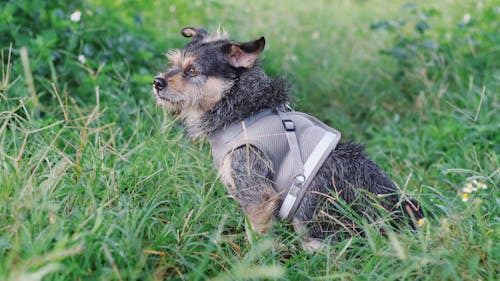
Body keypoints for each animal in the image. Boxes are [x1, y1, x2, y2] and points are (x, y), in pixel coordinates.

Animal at [152, 26, 422, 249]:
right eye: (173, 64)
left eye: (192, 70)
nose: (157, 82)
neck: (243, 110)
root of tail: (398, 215)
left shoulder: (256, 192)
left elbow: (256, 234)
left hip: (312, 216)